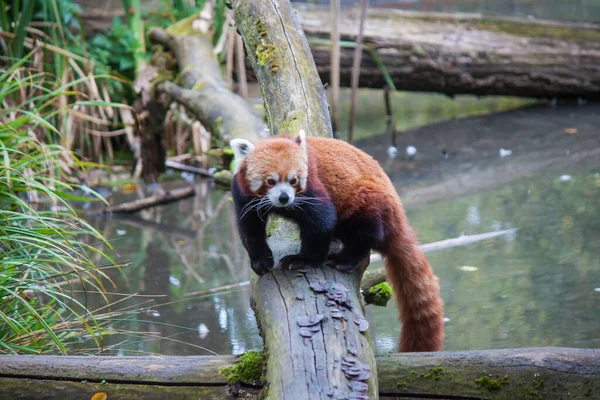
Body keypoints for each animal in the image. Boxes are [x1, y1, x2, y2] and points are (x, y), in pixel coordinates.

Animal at [230, 130, 446, 352]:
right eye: (270, 181)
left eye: (294, 180)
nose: (284, 198)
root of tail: (397, 216)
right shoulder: (244, 197)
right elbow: (250, 229)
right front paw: (261, 261)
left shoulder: (313, 190)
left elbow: (321, 224)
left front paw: (302, 259)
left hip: (367, 202)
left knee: (364, 234)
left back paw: (345, 259)